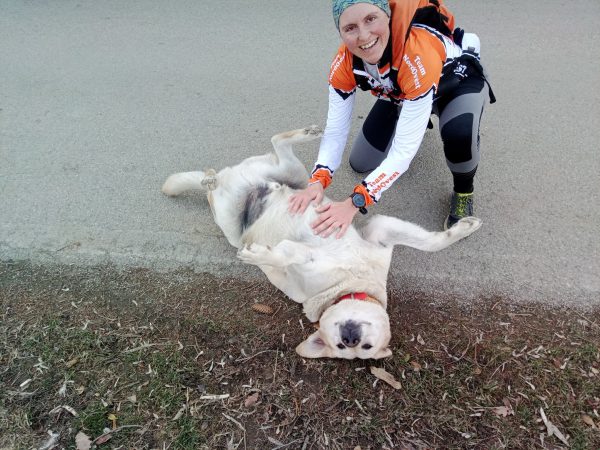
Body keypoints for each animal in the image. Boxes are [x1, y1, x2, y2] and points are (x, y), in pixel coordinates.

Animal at [162, 125, 480, 358]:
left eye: (363, 347)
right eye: (342, 345)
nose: (350, 338)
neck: (350, 285)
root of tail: (231, 178)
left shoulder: (377, 233)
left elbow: (429, 241)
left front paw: (462, 228)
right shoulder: (378, 233)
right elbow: (284, 254)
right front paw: (257, 256)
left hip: (286, 180)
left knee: (271, 151)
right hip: (244, 215)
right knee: (241, 166)